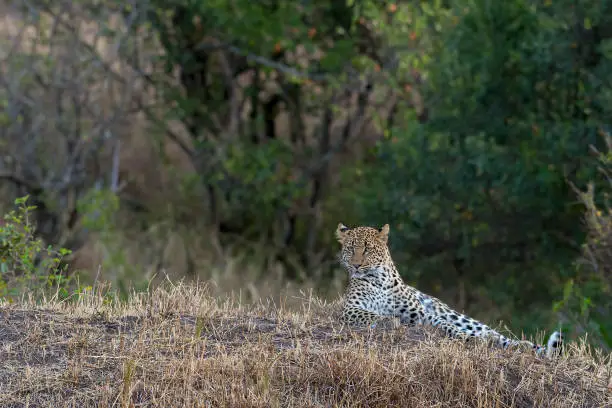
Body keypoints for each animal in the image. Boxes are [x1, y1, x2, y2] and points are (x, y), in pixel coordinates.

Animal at [334, 222, 564, 358]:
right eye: (350, 249)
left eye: (367, 249)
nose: (356, 265)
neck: (379, 279)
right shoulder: (351, 309)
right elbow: (377, 315)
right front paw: (391, 321)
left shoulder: (421, 315)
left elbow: (443, 324)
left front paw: (465, 337)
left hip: (460, 316)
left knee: (494, 334)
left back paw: (518, 345)